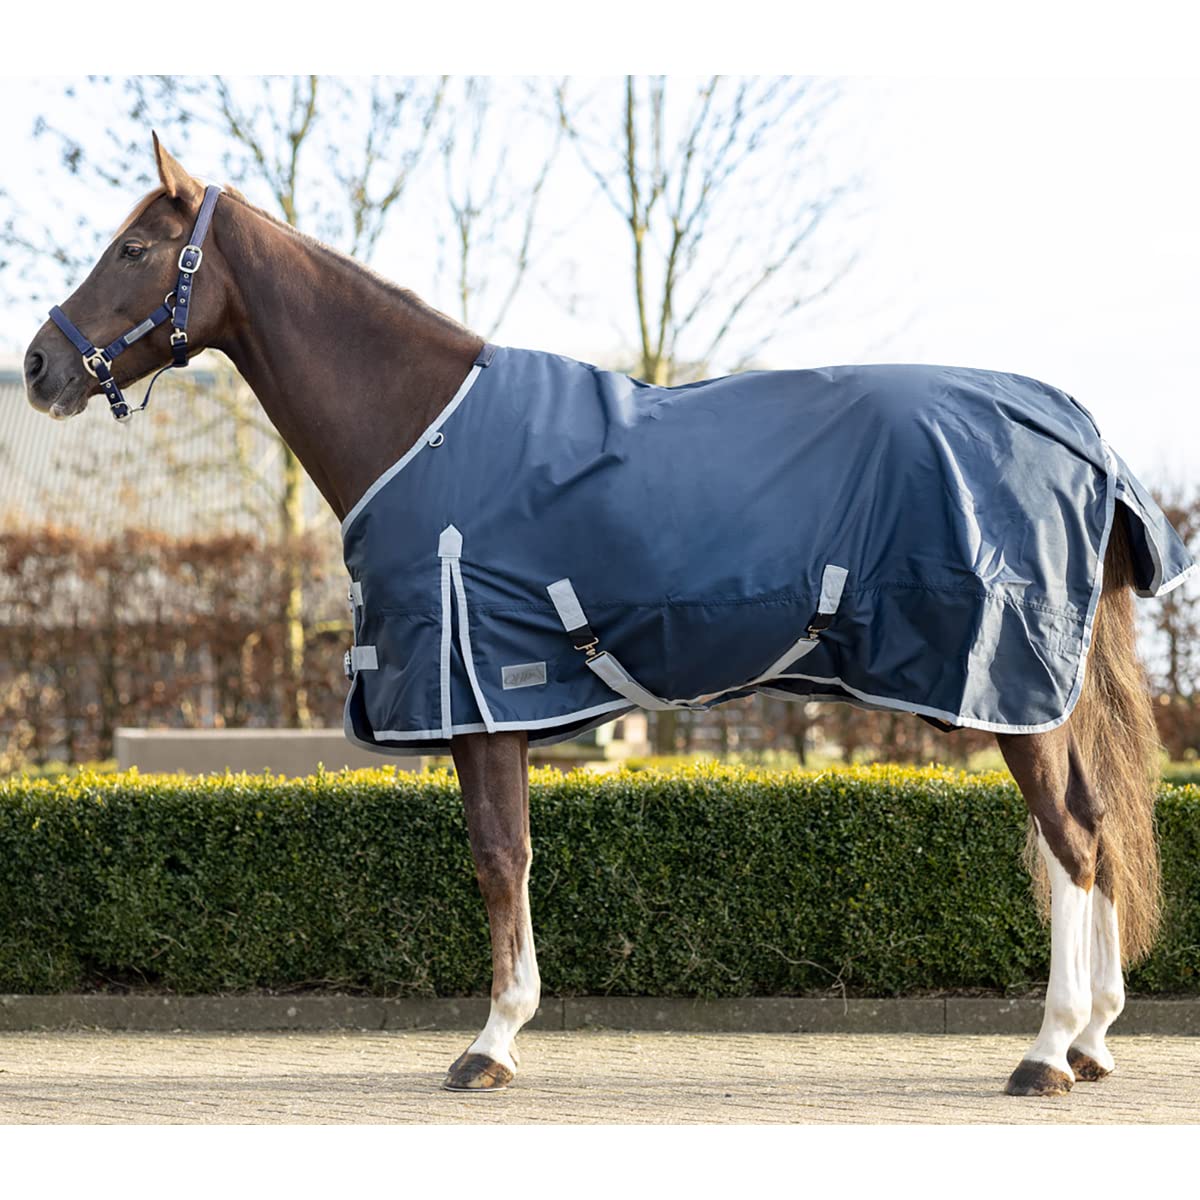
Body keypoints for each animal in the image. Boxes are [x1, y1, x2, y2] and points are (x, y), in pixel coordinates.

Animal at [22, 135, 1190, 1097]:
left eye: (134, 248)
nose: (39, 365)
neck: (421, 424)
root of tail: (1074, 426)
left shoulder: (481, 699)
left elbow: (500, 859)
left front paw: (492, 1042)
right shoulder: (501, 703)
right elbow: (516, 856)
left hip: (1011, 691)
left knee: (1072, 840)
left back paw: (1048, 1052)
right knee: (1088, 830)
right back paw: (1092, 1040)